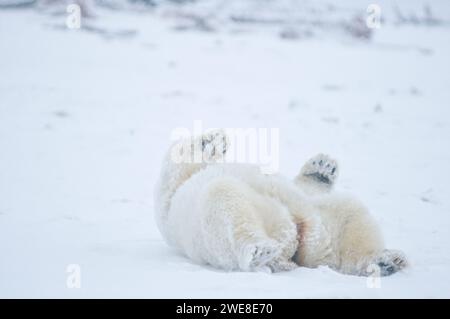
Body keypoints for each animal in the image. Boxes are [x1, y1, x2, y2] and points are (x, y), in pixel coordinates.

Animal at [155, 131, 408, 276]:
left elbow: (306, 186)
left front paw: (322, 167)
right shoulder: (170, 199)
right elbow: (173, 173)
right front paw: (209, 140)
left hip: (323, 223)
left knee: (351, 216)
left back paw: (385, 260)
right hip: (223, 227)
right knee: (225, 198)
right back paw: (259, 250)